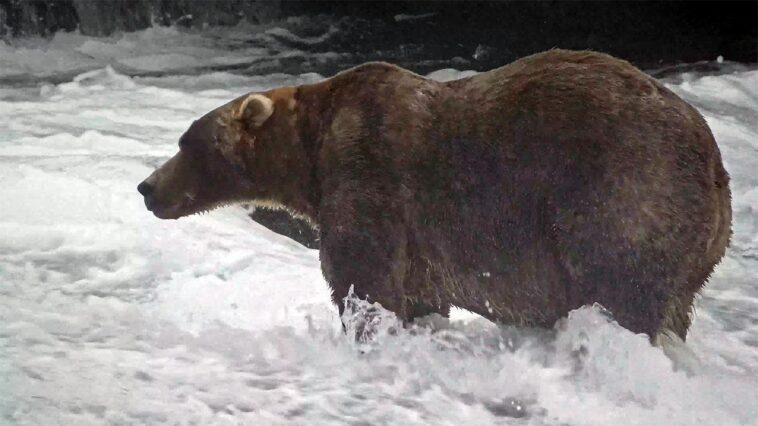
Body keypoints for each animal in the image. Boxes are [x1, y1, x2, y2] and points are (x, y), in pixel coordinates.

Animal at [138, 49, 731, 342]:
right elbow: (419, 293)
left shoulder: (369, 171)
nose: (147, 187)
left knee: (620, 284)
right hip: (697, 249)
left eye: (187, 142)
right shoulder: (420, 242)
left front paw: (366, 330)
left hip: (622, 190)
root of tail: (715, 162)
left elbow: (362, 275)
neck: (310, 153)